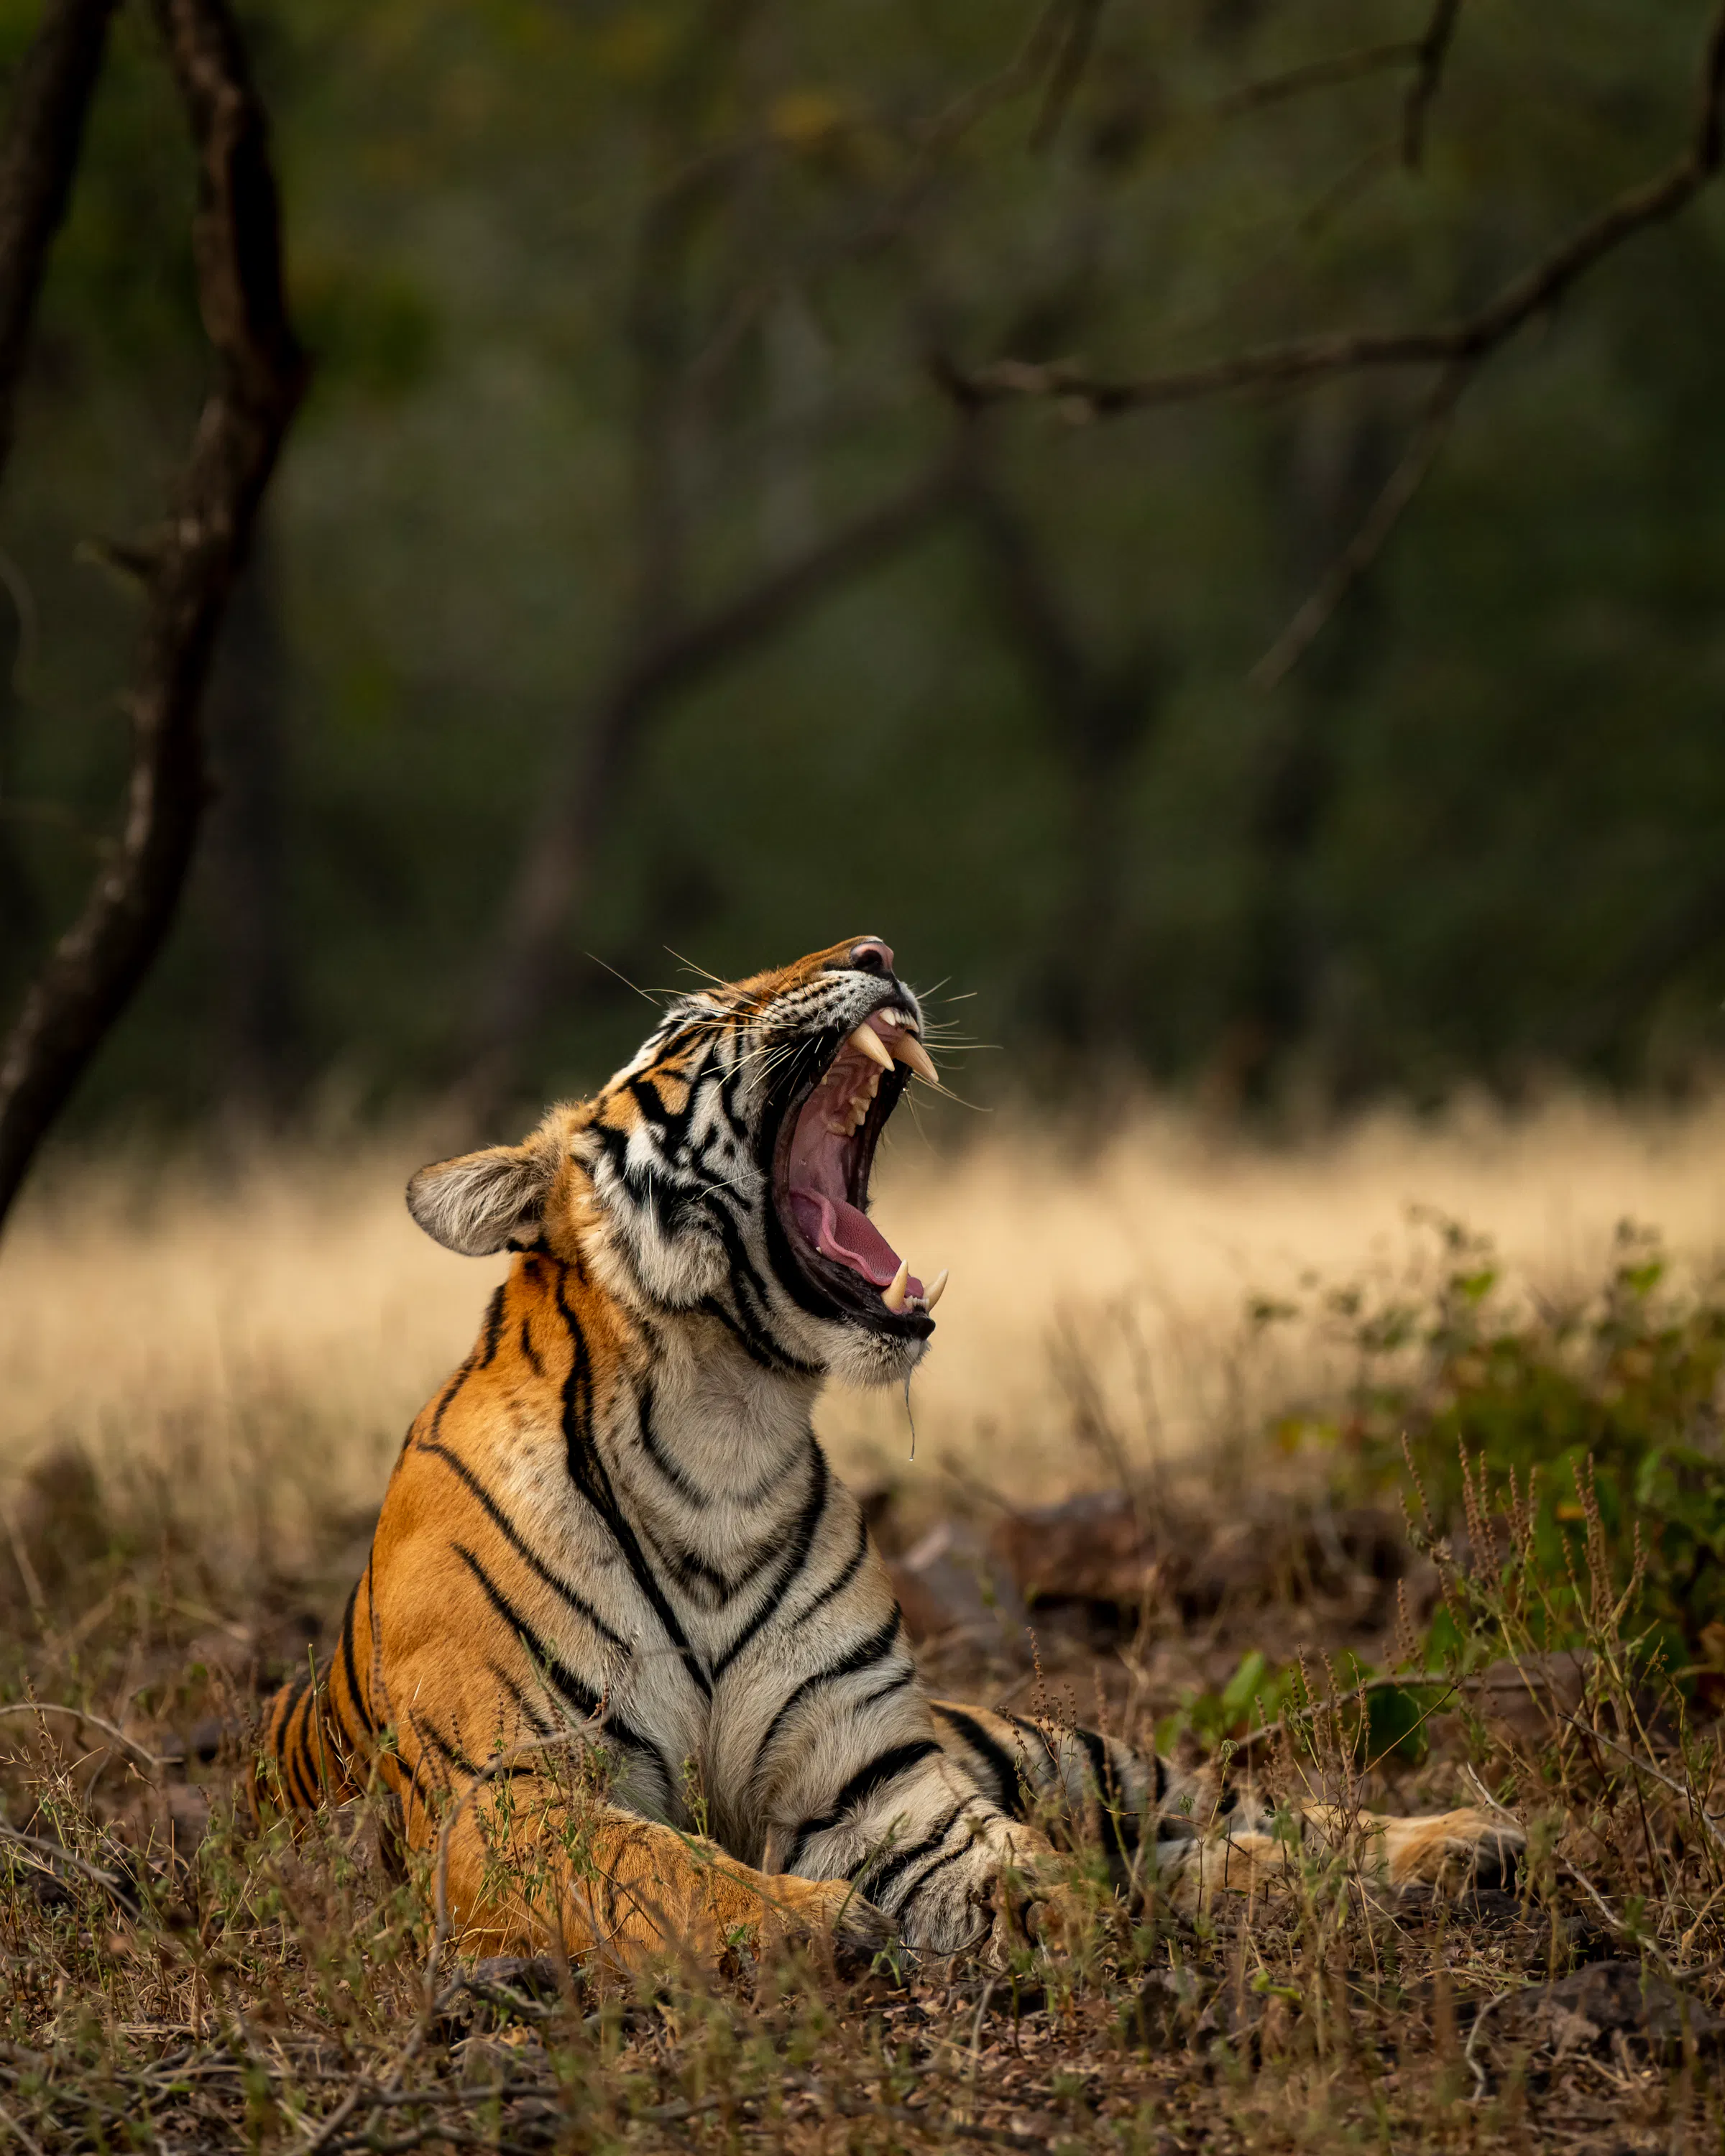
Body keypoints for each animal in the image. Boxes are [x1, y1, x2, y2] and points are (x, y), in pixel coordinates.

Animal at [259, 935, 1521, 1967]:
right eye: (695, 1020)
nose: (877, 948)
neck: (723, 1437)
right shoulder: (507, 1794)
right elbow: (657, 1870)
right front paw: (814, 1928)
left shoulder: (872, 1781)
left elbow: (1006, 1858)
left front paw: (1061, 1919)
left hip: (1070, 1751)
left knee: (1248, 1810)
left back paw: (1465, 1844)